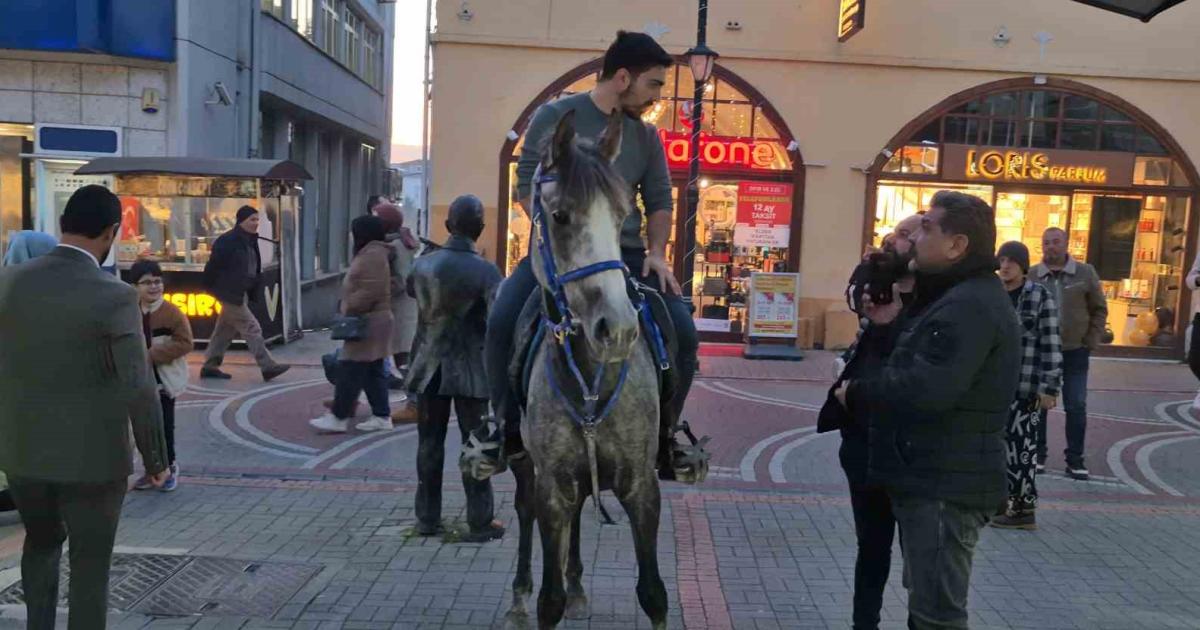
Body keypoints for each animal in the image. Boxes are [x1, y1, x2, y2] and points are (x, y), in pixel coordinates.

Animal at [506, 111, 672, 628]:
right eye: (559, 216)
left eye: (622, 216)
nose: (617, 329)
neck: (591, 378)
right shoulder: (551, 486)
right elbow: (549, 600)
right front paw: (540, 595)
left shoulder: (642, 485)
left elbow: (654, 593)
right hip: (526, 464)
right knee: (522, 510)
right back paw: (518, 595)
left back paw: (579, 584)